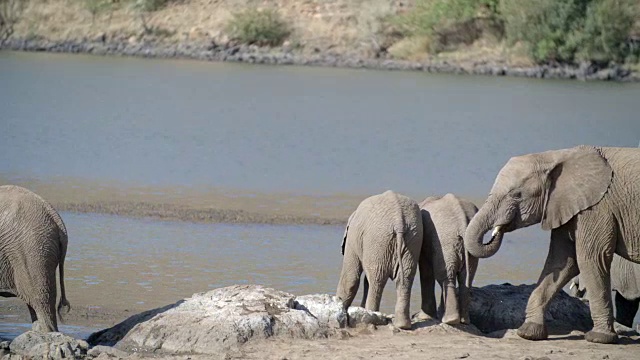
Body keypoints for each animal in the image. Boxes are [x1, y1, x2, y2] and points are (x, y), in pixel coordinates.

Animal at [338, 191, 422, 330]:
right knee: (405, 278)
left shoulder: (353, 239)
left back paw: (372, 318)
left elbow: (350, 279)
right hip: (413, 239)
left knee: (377, 279)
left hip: (378, 240)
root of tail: (399, 221)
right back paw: (402, 325)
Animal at [418, 194, 478, 326]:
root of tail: (462, 222)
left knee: (445, 276)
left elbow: (426, 273)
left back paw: (450, 320)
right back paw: (464, 321)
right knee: (465, 279)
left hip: (445, 242)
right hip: (466, 246)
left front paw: (424, 317)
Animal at [462, 146, 640, 344]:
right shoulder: (566, 206)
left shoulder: (597, 208)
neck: (556, 156)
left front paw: (599, 338)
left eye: (517, 195)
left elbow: (591, 259)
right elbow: (562, 262)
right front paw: (528, 332)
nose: (497, 230)